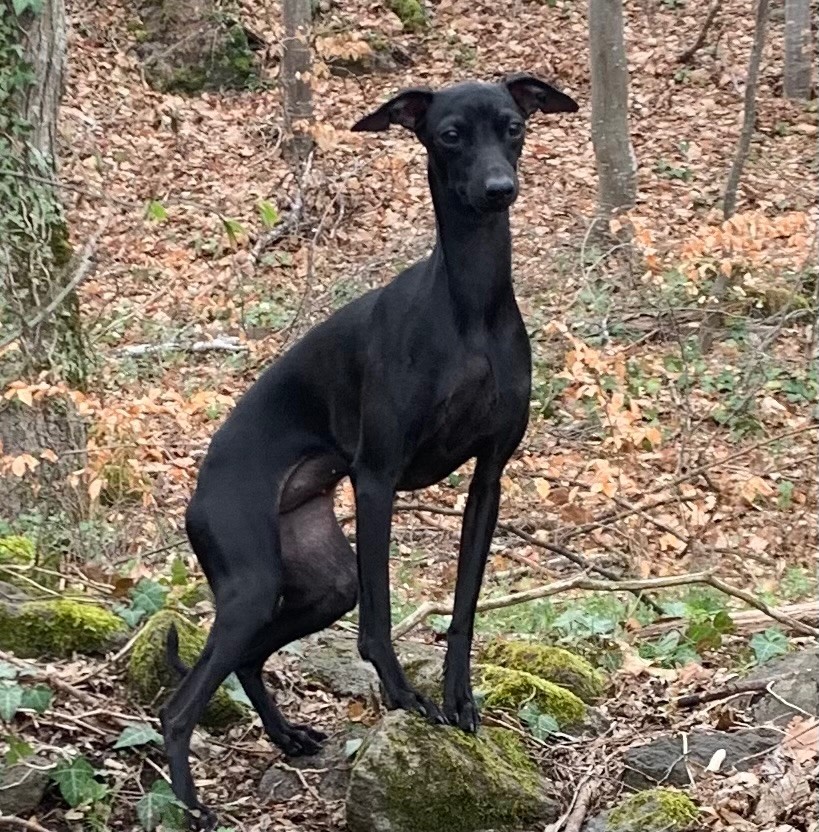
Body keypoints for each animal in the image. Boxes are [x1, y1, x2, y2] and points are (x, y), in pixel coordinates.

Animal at [160, 75, 580, 828]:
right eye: (449, 134)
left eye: (513, 126)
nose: (499, 189)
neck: (469, 310)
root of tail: (198, 493)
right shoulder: (377, 478)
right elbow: (379, 622)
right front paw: (403, 696)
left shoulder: (489, 479)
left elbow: (464, 608)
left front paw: (458, 699)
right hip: (250, 581)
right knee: (178, 710)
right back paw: (192, 804)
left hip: (320, 579)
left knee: (249, 659)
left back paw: (285, 736)